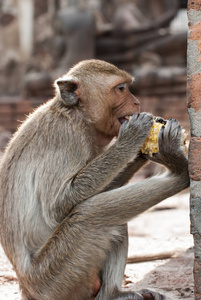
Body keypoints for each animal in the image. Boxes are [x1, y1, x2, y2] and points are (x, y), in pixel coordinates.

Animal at [0, 59, 188, 300]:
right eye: (121, 88)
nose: (137, 102)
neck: (77, 114)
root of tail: (26, 288)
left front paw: (140, 152)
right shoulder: (67, 136)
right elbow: (58, 206)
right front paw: (132, 137)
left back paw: (113, 293)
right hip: (54, 277)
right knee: (90, 215)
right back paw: (180, 170)